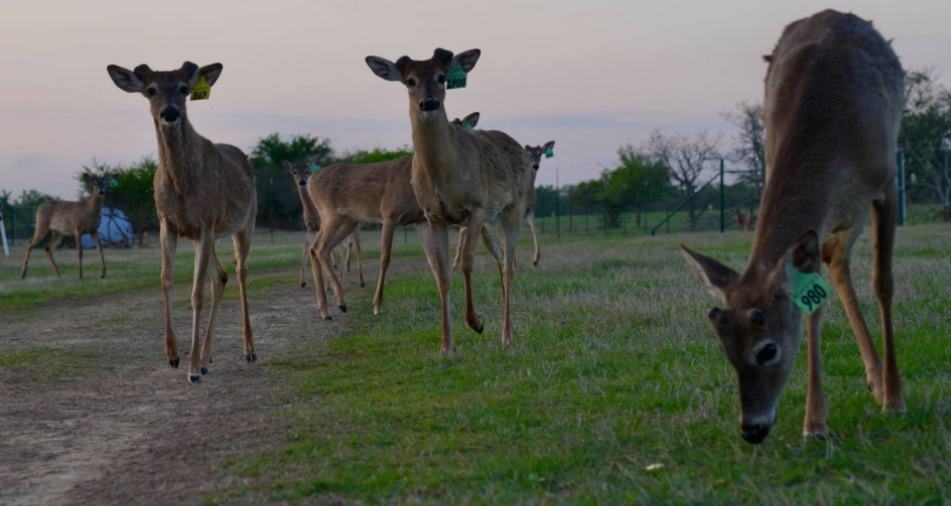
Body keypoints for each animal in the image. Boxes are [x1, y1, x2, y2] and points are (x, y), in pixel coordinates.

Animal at [107, 61, 257, 384]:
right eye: (151, 90)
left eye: (184, 89)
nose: (170, 113)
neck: (181, 187)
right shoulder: (169, 224)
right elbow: (166, 279)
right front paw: (174, 356)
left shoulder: (206, 221)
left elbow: (196, 293)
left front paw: (191, 369)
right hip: (205, 236)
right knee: (220, 276)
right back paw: (206, 357)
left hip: (244, 222)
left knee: (240, 272)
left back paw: (248, 350)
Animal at [283, 160, 364, 289]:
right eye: (294, 172)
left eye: (308, 171)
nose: (302, 181)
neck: (313, 213)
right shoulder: (310, 228)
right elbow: (306, 248)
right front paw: (302, 282)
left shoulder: (321, 227)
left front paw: (326, 285)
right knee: (346, 246)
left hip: (355, 226)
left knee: (355, 245)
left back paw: (359, 281)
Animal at [366, 48, 532, 352]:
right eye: (409, 81)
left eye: (442, 77)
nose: (429, 102)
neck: (443, 178)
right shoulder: (433, 216)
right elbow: (442, 273)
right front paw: (446, 345)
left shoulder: (475, 209)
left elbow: (466, 262)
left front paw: (476, 322)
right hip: (491, 221)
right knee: (502, 261)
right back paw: (508, 328)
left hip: (513, 208)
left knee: (508, 266)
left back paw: (506, 335)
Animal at [680, 9, 905, 444]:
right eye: (726, 352)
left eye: (767, 349)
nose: (752, 428)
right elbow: (812, 302)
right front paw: (814, 422)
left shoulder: (886, 181)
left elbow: (883, 283)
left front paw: (896, 399)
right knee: (835, 261)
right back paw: (872, 380)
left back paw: (883, 388)